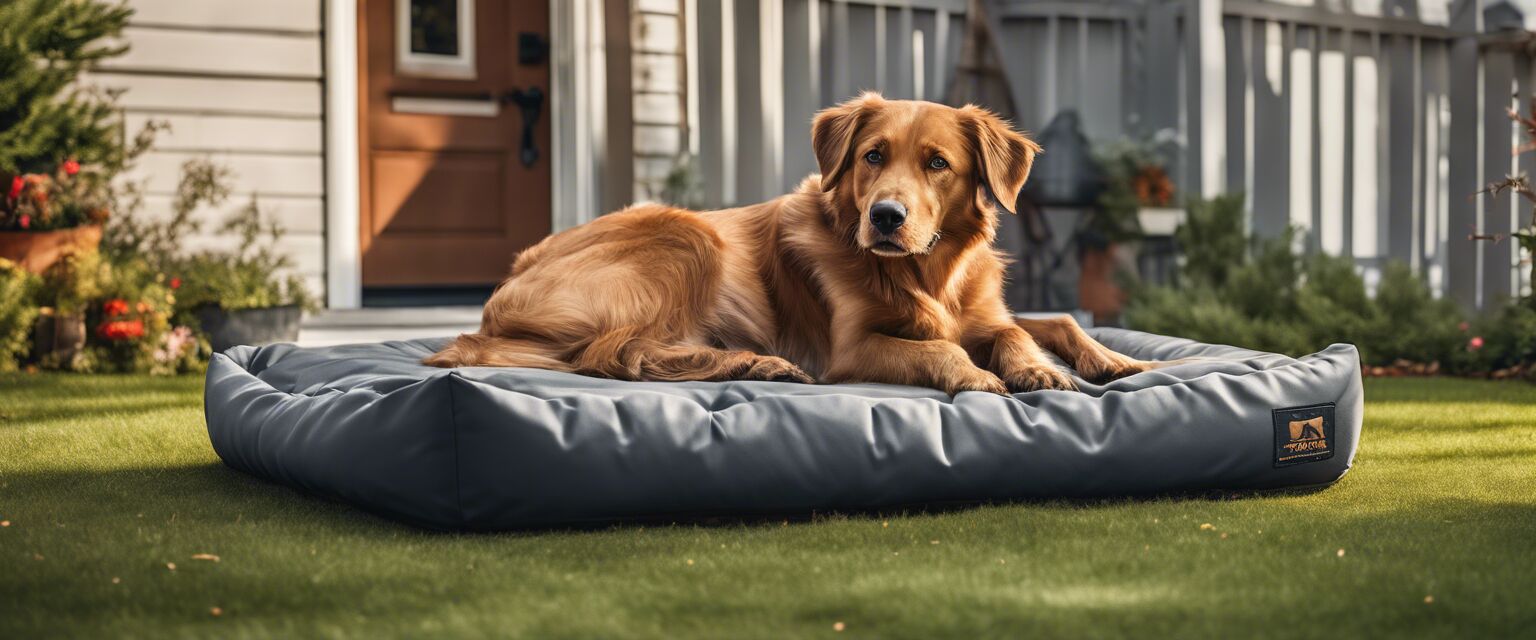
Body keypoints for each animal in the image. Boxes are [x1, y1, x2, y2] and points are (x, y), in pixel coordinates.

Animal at [423, 91, 1155, 391]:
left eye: (937, 164)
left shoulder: (985, 310)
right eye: (872, 156)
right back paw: (756, 363)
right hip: (686, 233)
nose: (886, 217)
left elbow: (1037, 324)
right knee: (619, 354)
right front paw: (980, 375)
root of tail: (503, 289)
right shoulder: (852, 347)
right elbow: (941, 348)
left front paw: (1085, 362)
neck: (925, 273)